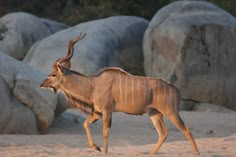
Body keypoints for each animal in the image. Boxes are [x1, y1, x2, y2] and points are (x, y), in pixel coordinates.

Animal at [40, 32, 199, 154]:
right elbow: (85, 124)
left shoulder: (106, 111)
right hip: (154, 113)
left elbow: (105, 132)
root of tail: (175, 89)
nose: (42, 85)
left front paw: (103, 151)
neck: (93, 85)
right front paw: (96, 147)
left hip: (170, 111)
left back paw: (196, 153)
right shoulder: (98, 112)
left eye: (53, 74)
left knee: (186, 130)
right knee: (163, 133)